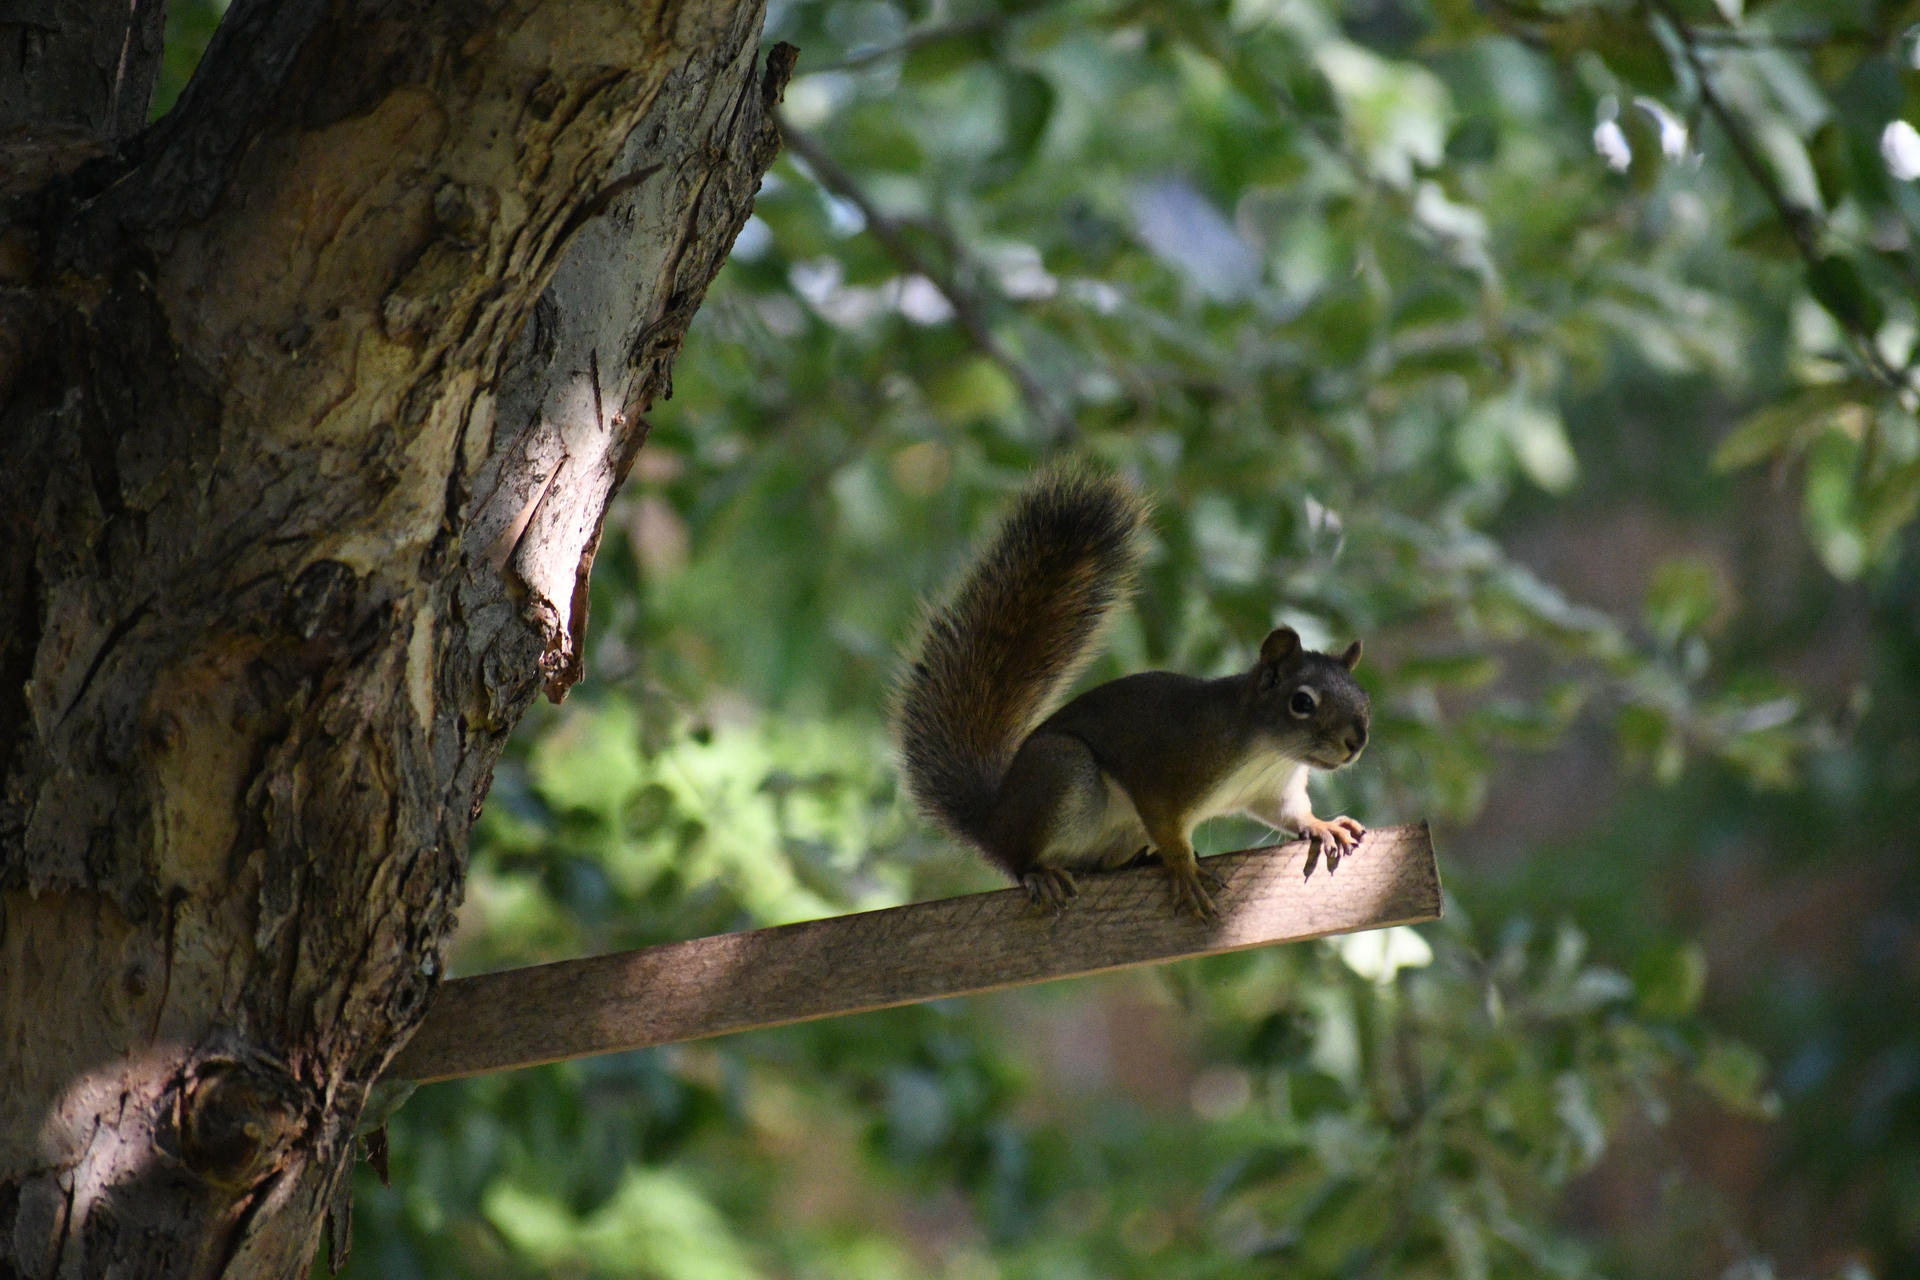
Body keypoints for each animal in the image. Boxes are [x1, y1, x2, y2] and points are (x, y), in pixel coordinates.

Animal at [894, 467, 1372, 921]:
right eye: (1302, 702)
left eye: (1364, 700)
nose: (1356, 742)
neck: (1266, 753)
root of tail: (994, 820)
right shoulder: (1165, 771)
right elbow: (1166, 823)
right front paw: (1183, 867)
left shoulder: (1272, 791)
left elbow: (1290, 812)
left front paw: (1323, 825)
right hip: (1061, 771)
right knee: (1020, 859)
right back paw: (1043, 873)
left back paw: (1137, 861)